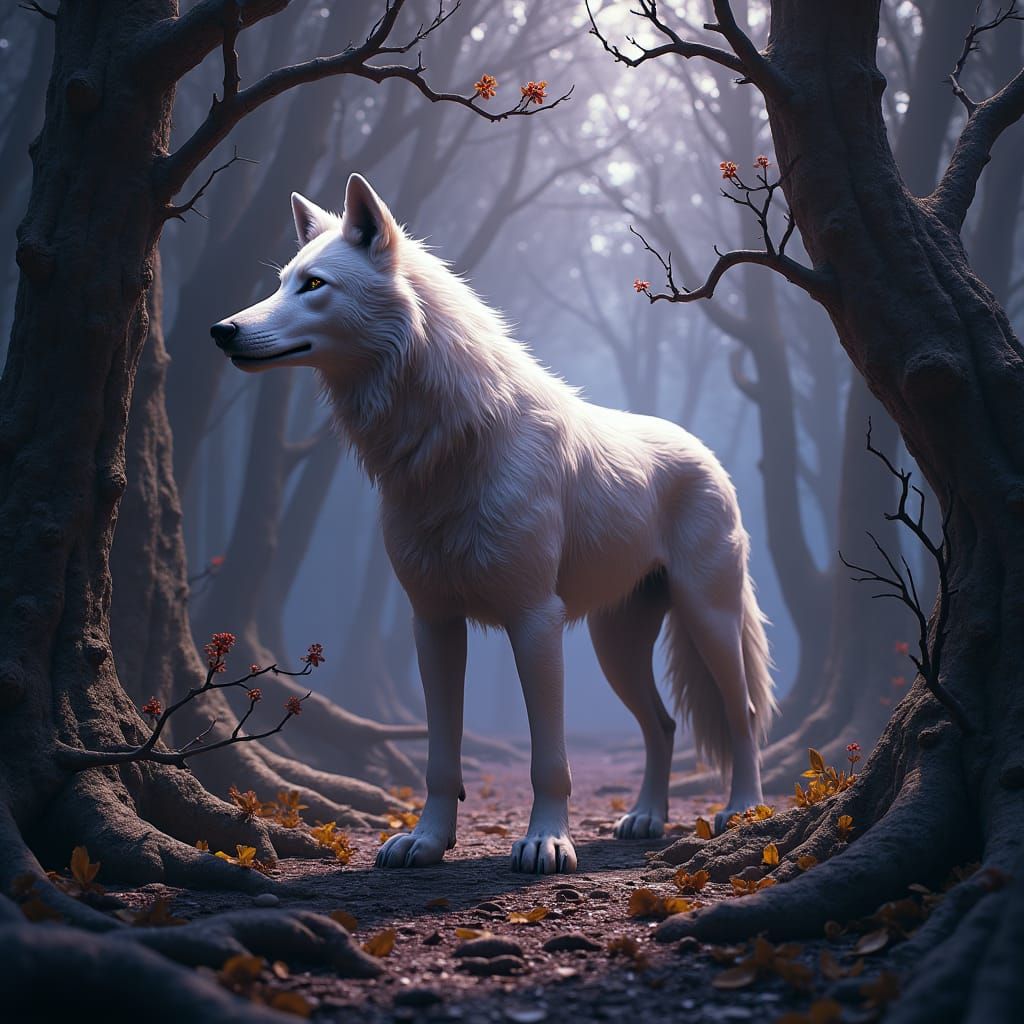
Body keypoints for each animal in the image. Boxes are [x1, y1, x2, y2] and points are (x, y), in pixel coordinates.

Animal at [211, 173, 776, 874]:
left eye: (314, 285)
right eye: (282, 280)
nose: (221, 329)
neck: (448, 446)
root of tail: (704, 452)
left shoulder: (534, 620)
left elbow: (550, 761)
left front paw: (546, 843)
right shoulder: (432, 622)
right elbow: (439, 757)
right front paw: (426, 841)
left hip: (707, 618)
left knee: (741, 712)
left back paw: (742, 810)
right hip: (614, 646)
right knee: (662, 724)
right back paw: (646, 817)